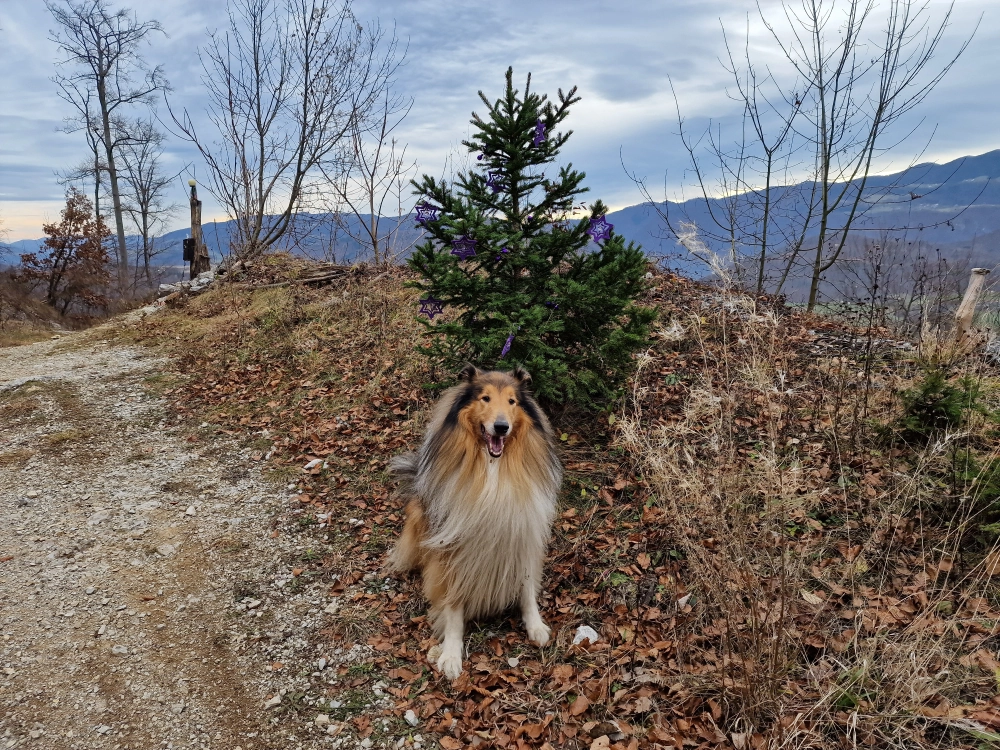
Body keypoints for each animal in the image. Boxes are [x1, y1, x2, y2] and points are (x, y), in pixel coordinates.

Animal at [388, 364, 564, 680]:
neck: (493, 466)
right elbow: (453, 603)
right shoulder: (451, 547)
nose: (501, 427)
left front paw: (535, 625)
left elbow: (527, 587)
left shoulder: (523, 533)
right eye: (485, 398)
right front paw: (451, 653)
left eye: (512, 401)